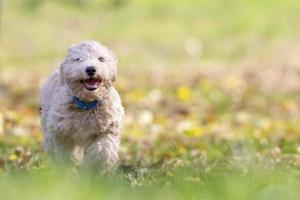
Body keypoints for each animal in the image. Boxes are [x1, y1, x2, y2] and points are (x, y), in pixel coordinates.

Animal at [40, 40, 124, 170]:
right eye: (78, 59)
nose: (90, 69)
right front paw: (69, 169)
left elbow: (102, 150)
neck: (87, 104)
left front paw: (94, 169)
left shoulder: (108, 129)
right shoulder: (61, 132)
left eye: (101, 59)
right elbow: (66, 154)